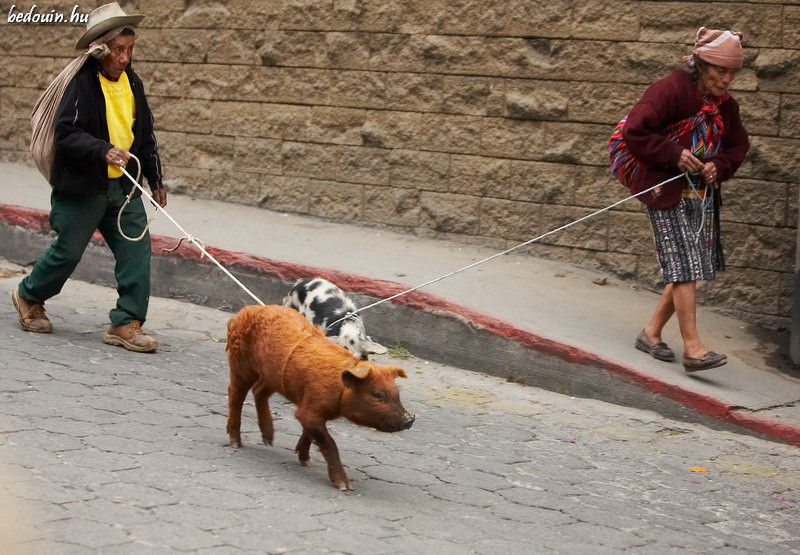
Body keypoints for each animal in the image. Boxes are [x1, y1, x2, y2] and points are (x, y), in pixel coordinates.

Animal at [223, 304, 412, 490]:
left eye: (397, 393)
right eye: (377, 394)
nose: (410, 419)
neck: (340, 387)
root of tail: (245, 310)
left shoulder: (312, 409)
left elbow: (310, 434)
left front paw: (305, 461)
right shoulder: (309, 410)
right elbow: (328, 442)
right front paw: (344, 486)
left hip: (271, 376)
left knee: (258, 391)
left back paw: (269, 441)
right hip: (240, 364)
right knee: (235, 394)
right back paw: (236, 442)